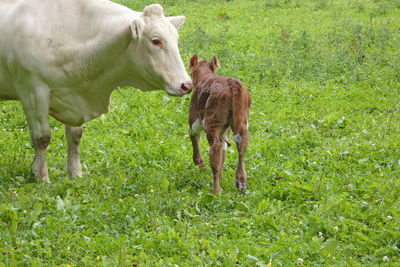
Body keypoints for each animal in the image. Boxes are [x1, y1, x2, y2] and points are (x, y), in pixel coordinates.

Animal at [0, 0, 192, 183]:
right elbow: (42, 138)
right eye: (156, 40)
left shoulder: (74, 93)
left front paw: (75, 173)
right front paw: (41, 177)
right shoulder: (33, 91)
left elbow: (75, 136)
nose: (187, 85)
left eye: (176, 39)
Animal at [188, 54, 250, 195]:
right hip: (242, 121)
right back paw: (241, 182)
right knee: (241, 146)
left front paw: (199, 162)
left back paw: (216, 191)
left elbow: (194, 137)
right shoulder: (225, 131)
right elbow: (224, 150)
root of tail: (233, 82)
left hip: (212, 123)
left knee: (215, 148)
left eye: (190, 73)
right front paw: (221, 176)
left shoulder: (194, 120)